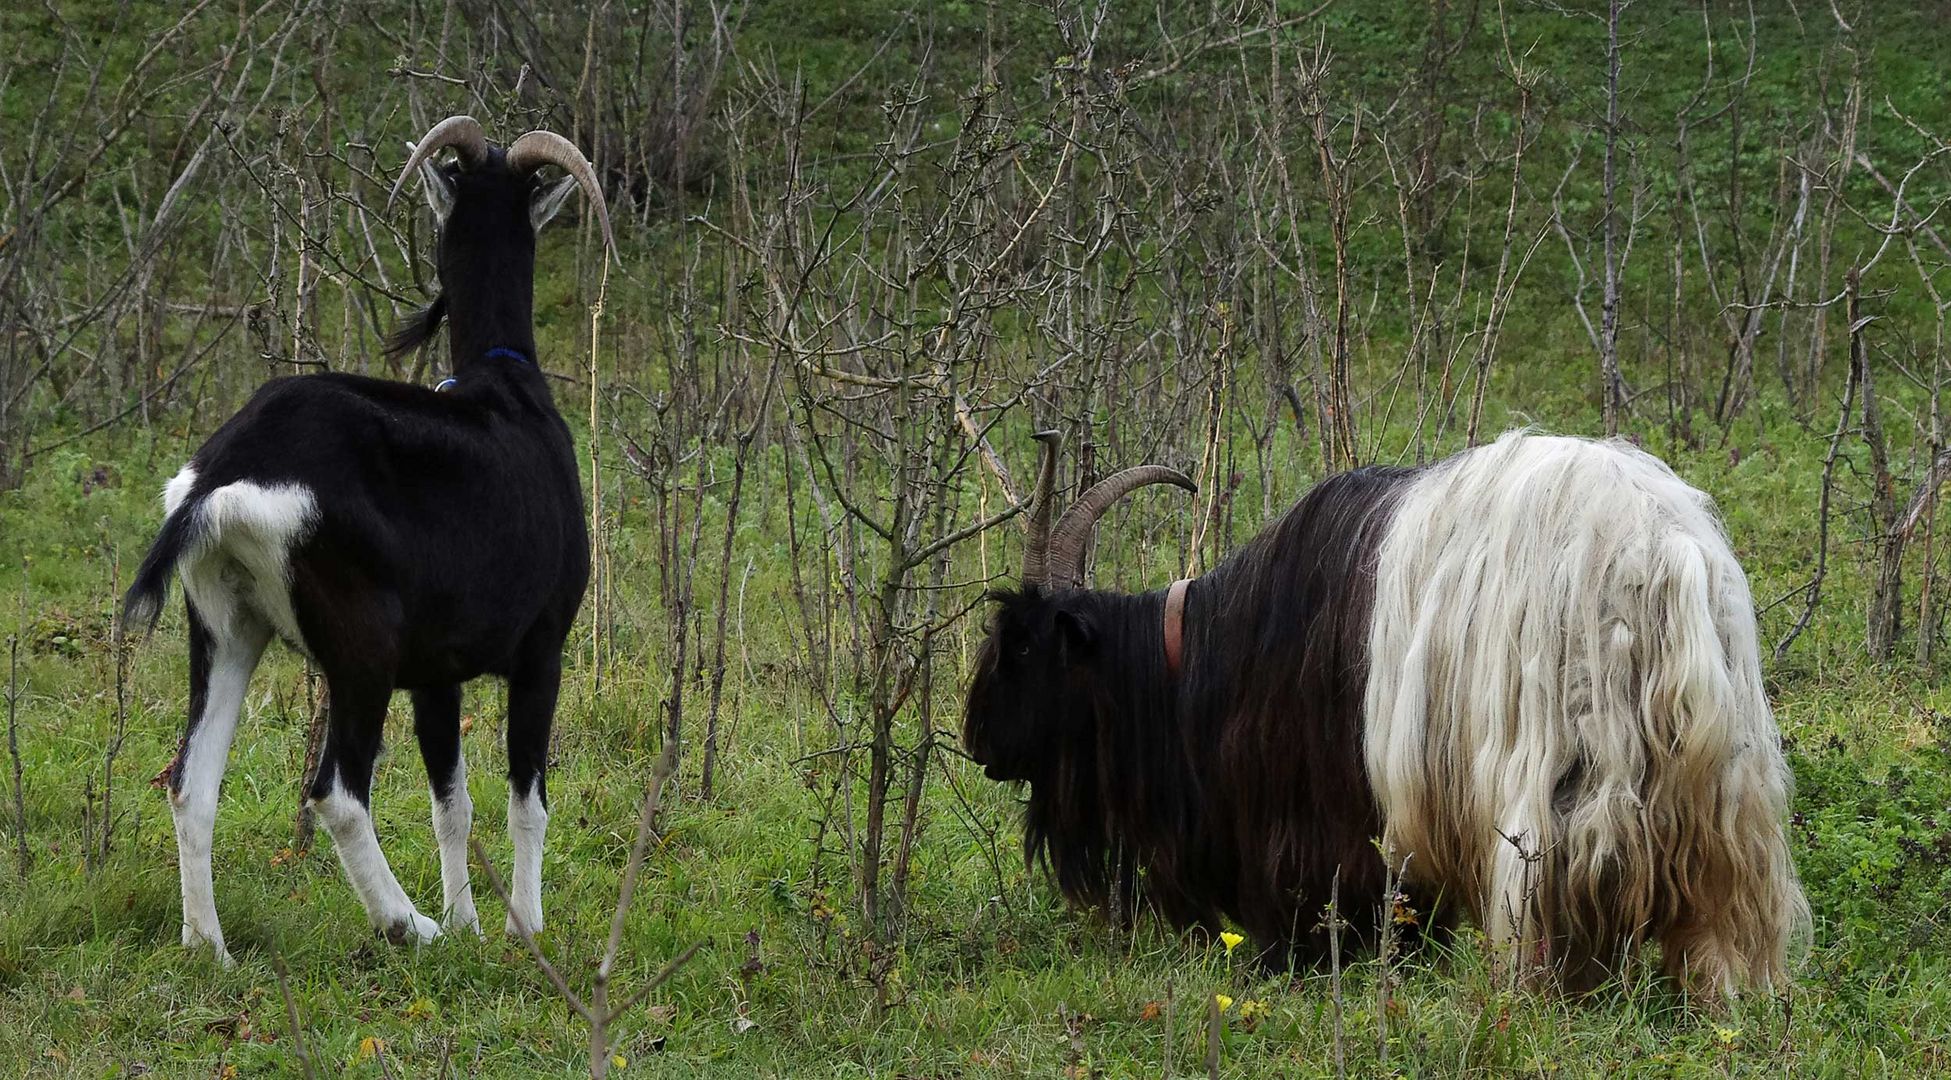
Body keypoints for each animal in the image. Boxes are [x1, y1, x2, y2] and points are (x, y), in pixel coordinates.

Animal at [123, 117, 608, 959]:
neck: (507, 386)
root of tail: (227, 472)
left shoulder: (437, 674)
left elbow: (453, 803)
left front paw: (469, 921)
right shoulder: (541, 648)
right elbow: (526, 799)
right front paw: (520, 929)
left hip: (224, 625)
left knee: (192, 780)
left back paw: (210, 947)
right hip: (360, 647)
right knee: (337, 793)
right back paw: (407, 924)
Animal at [967, 428, 1802, 990]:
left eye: (1021, 648)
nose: (979, 743)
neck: (1204, 660)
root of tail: (1658, 553)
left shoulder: (1326, 826)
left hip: (1558, 774)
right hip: (1723, 785)